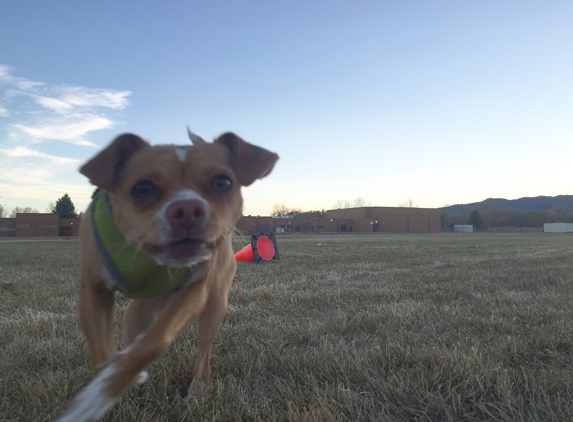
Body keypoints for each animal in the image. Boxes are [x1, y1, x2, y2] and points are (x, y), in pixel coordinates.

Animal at [58, 130, 280, 420]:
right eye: (142, 188)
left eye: (222, 182)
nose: (187, 208)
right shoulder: (94, 293)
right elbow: (103, 355)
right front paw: (103, 390)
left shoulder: (195, 293)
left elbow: (156, 341)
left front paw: (99, 396)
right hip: (135, 314)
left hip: (215, 306)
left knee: (202, 356)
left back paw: (197, 391)